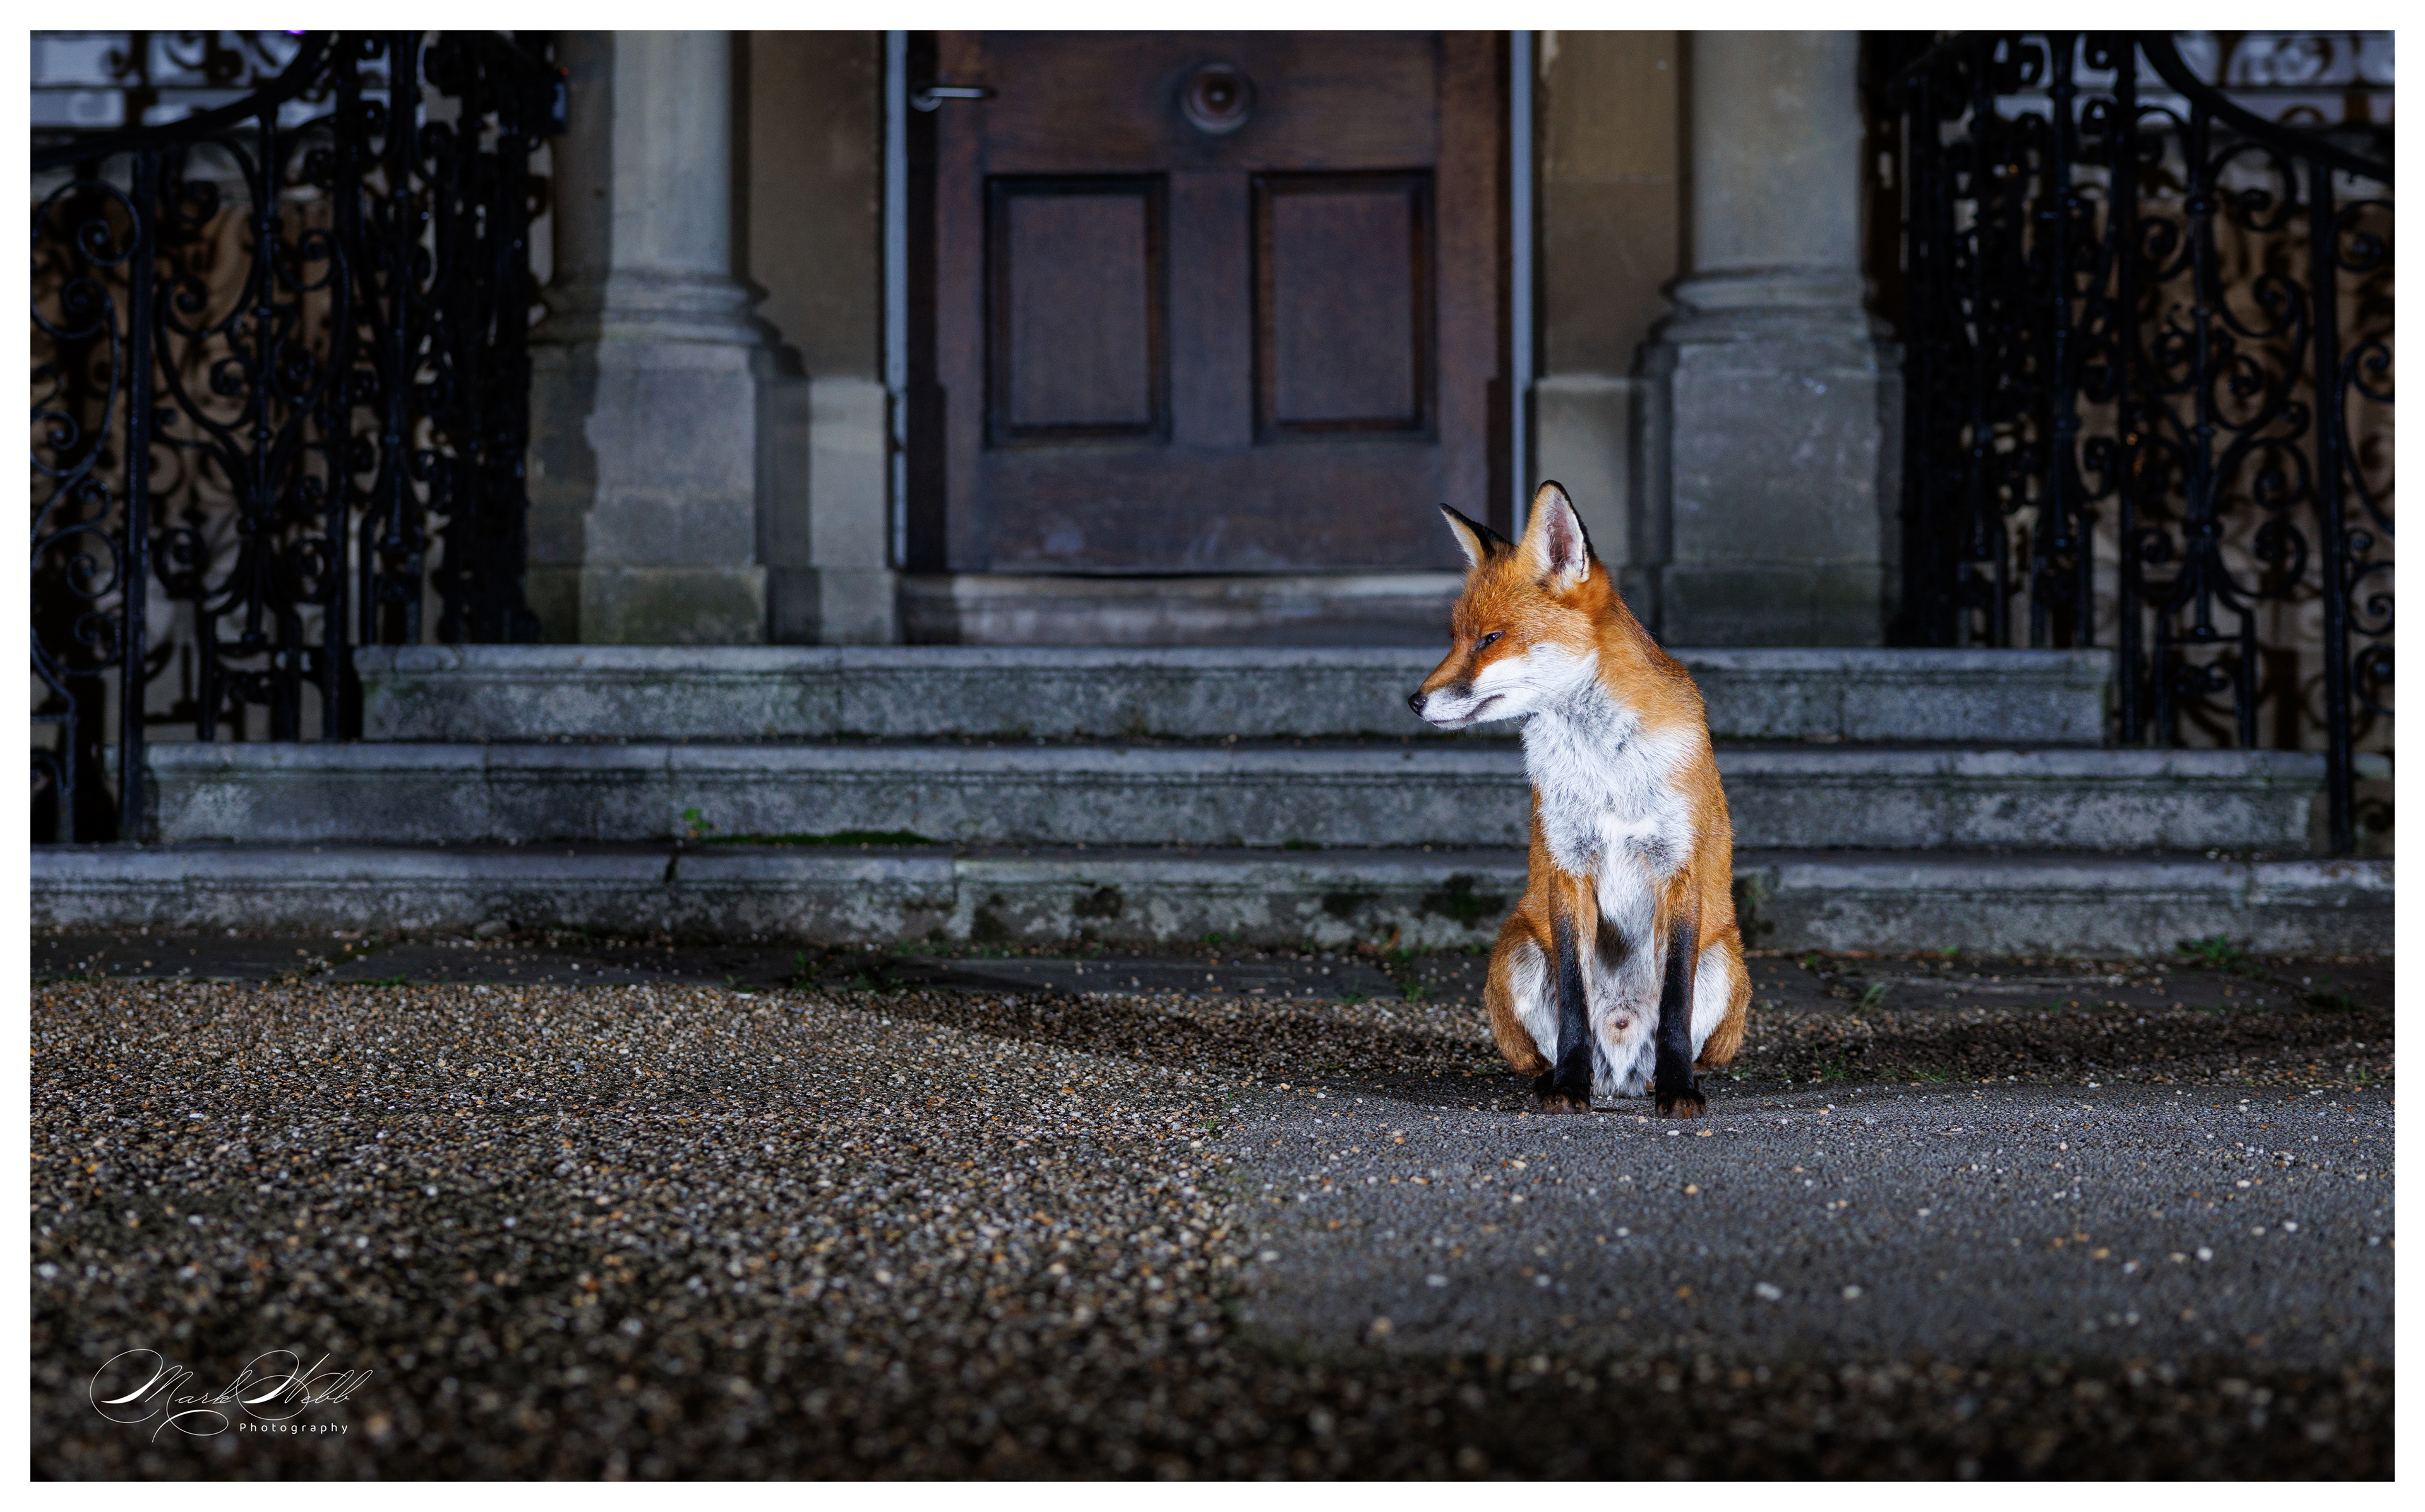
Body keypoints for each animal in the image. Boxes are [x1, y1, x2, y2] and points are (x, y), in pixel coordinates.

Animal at [1409, 480, 1749, 1117]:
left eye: (1491, 638)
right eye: (1456, 637)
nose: (1414, 702)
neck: (1606, 772)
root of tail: (1620, 1073)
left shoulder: (1677, 867)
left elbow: (1674, 1004)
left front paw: (1679, 1087)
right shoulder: (1568, 865)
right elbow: (1573, 997)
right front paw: (1569, 1082)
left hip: (1723, 964)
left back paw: (1660, 1080)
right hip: (1517, 950)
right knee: (1553, 1040)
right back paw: (1563, 1077)